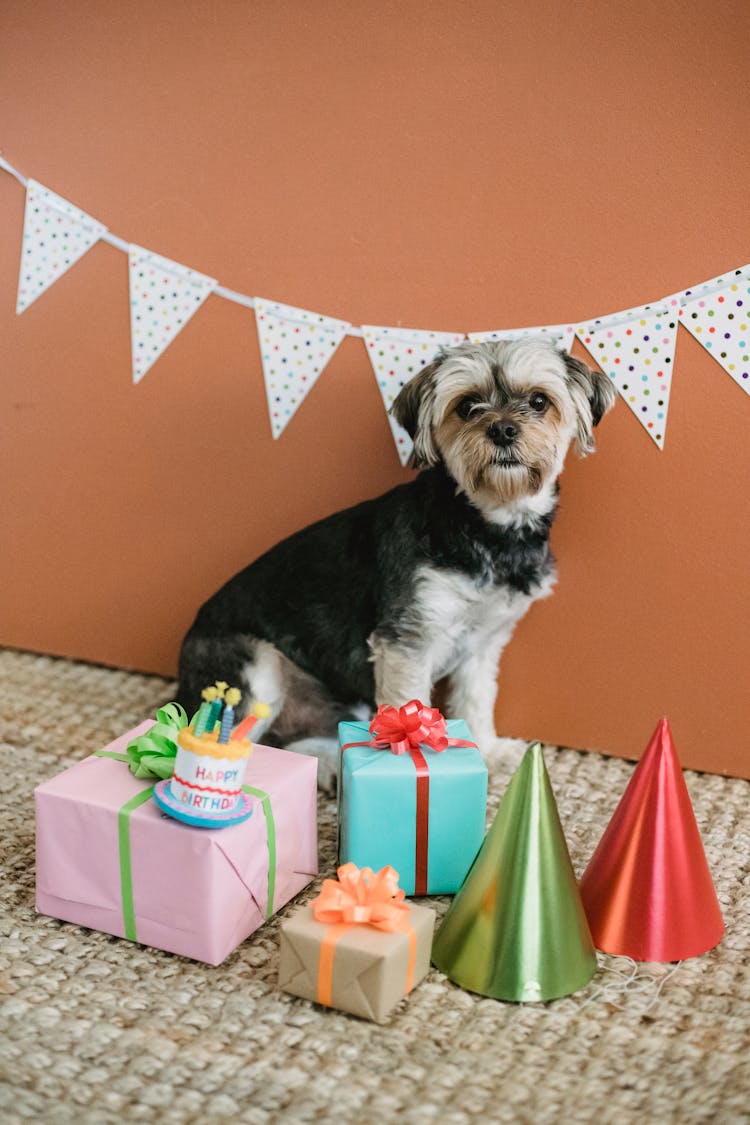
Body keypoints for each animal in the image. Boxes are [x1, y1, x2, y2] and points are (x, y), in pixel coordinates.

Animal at [177, 337, 616, 787]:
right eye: (466, 406)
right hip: (253, 666)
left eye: (539, 401)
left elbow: (476, 699)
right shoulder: (407, 640)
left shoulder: (482, 643)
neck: (485, 525)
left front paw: (489, 752)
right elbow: (409, 707)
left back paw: (329, 763)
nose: (503, 429)